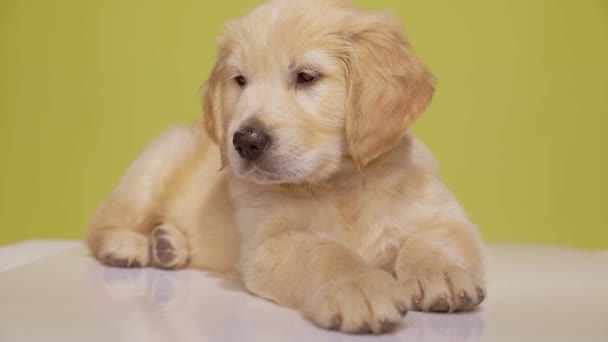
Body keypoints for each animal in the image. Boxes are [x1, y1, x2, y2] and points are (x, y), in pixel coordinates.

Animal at [86, 0, 484, 332]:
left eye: (306, 77)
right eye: (240, 81)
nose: (245, 140)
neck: (339, 183)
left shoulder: (445, 215)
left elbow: (432, 238)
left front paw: (443, 273)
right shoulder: (270, 243)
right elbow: (324, 252)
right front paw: (360, 285)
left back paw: (168, 244)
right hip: (157, 162)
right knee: (103, 221)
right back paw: (128, 244)